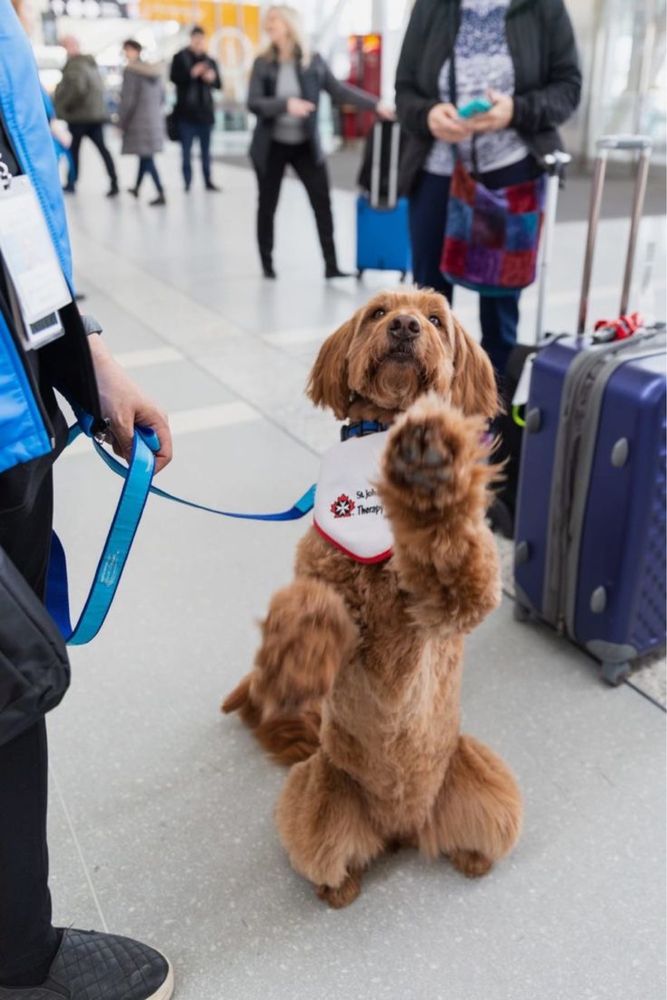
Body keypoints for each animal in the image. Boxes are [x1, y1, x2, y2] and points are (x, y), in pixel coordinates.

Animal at [224, 288, 520, 908]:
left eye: (435, 319)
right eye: (378, 313)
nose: (405, 326)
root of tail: (402, 827)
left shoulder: (452, 601)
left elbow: (454, 549)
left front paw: (432, 472)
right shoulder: (322, 572)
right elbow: (307, 607)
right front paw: (289, 672)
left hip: (485, 784)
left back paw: (472, 858)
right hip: (315, 798)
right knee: (329, 852)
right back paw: (338, 887)